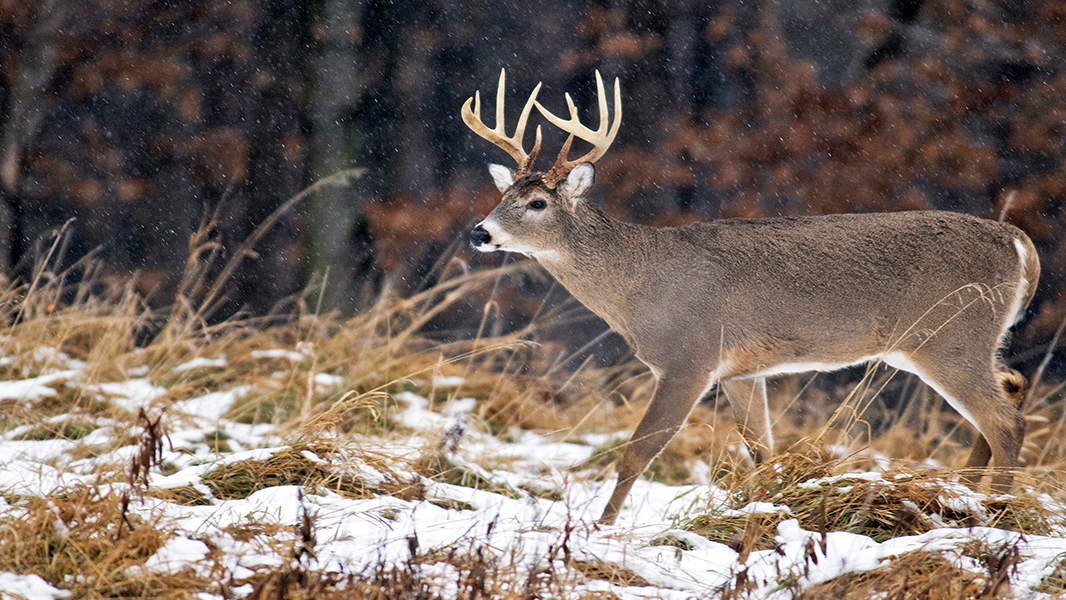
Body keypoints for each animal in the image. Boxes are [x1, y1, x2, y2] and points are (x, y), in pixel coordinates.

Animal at [460, 68, 1040, 524]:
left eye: (537, 203)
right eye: (502, 194)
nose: (480, 233)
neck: (638, 284)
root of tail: (1020, 244)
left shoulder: (689, 356)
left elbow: (637, 452)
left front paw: (599, 529)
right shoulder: (741, 371)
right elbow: (762, 451)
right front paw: (769, 511)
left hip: (948, 336)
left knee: (1005, 421)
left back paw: (995, 513)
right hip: (959, 341)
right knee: (1010, 386)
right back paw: (962, 494)